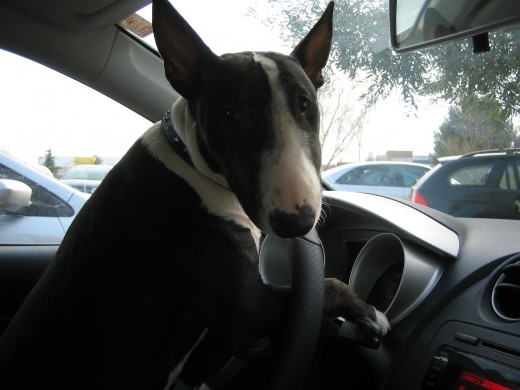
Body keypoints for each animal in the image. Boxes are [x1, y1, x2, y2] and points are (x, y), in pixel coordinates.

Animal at [0, 1, 388, 388]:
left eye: (305, 104)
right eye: (231, 114)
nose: (297, 221)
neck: (187, 158)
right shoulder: (246, 310)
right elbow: (331, 285)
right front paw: (375, 314)